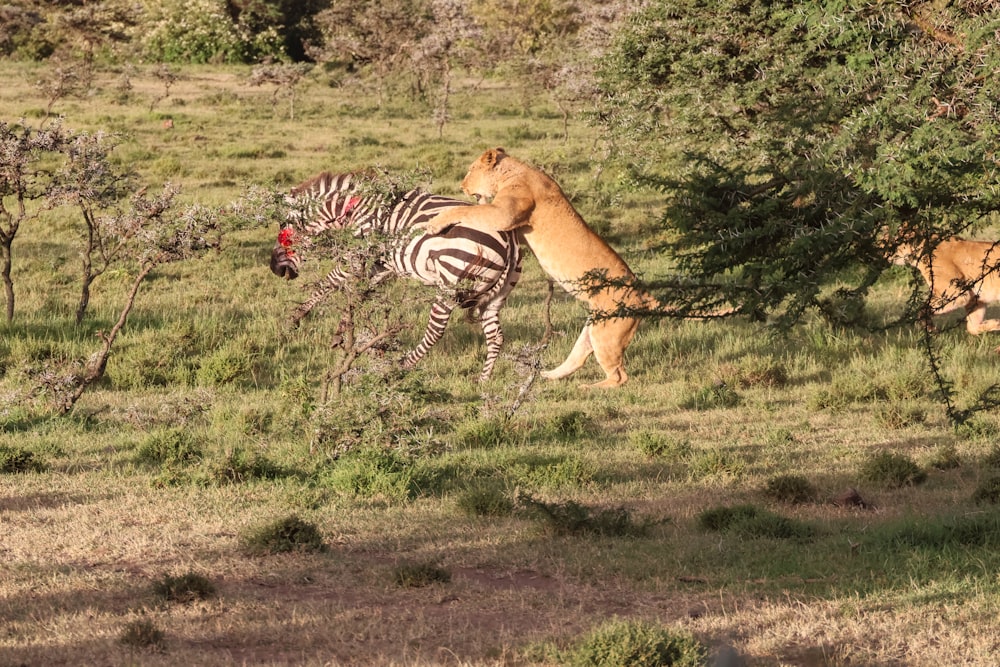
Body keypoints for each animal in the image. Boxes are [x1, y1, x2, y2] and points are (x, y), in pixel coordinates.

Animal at [274, 170, 524, 384]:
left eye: (284, 232)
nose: (274, 269)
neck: (354, 207)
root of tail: (508, 240)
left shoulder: (359, 252)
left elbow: (330, 282)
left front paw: (294, 318)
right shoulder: (381, 265)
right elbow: (357, 293)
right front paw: (341, 331)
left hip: (451, 279)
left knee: (435, 331)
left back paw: (400, 367)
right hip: (497, 293)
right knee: (496, 336)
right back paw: (483, 380)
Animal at [414, 146, 656, 386]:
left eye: (471, 170)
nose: (461, 186)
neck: (513, 172)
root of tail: (644, 296)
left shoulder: (504, 213)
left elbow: (468, 211)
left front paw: (434, 223)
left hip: (608, 335)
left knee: (619, 376)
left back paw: (587, 387)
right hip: (595, 328)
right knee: (579, 357)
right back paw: (547, 375)